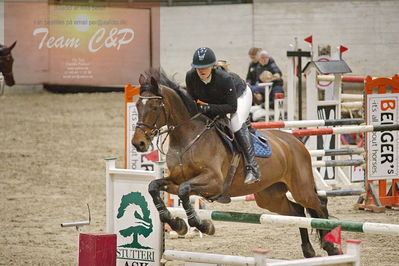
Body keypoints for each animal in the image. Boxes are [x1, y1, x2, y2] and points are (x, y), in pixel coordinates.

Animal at [133, 70, 340, 258]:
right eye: (136, 105)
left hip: (301, 188)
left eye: (154, 107)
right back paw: (308, 250)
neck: (189, 138)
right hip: (270, 196)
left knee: (319, 205)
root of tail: (294, 142)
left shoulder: (213, 182)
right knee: (297, 211)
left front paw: (204, 226)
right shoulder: (175, 180)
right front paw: (177, 224)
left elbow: (184, 191)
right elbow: (154, 187)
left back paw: (331, 247)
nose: (138, 143)